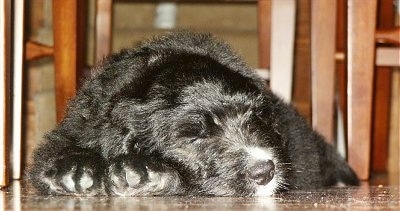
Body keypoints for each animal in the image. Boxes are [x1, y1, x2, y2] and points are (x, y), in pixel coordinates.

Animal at [28, 32, 360, 197]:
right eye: (194, 137)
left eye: (254, 117)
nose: (264, 171)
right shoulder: (77, 125)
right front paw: (73, 170)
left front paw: (148, 174)